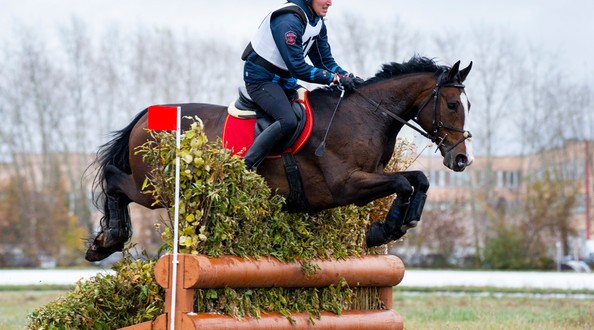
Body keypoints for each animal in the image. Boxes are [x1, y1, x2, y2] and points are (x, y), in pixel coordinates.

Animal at [85, 56, 472, 262]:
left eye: (466, 104)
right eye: (453, 104)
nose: (461, 159)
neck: (364, 115)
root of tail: (145, 116)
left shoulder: (372, 174)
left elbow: (418, 179)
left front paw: (400, 223)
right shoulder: (346, 185)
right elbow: (403, 183)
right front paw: (383, 230)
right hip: (155, 187)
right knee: (114, 179)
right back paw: (109, 239)